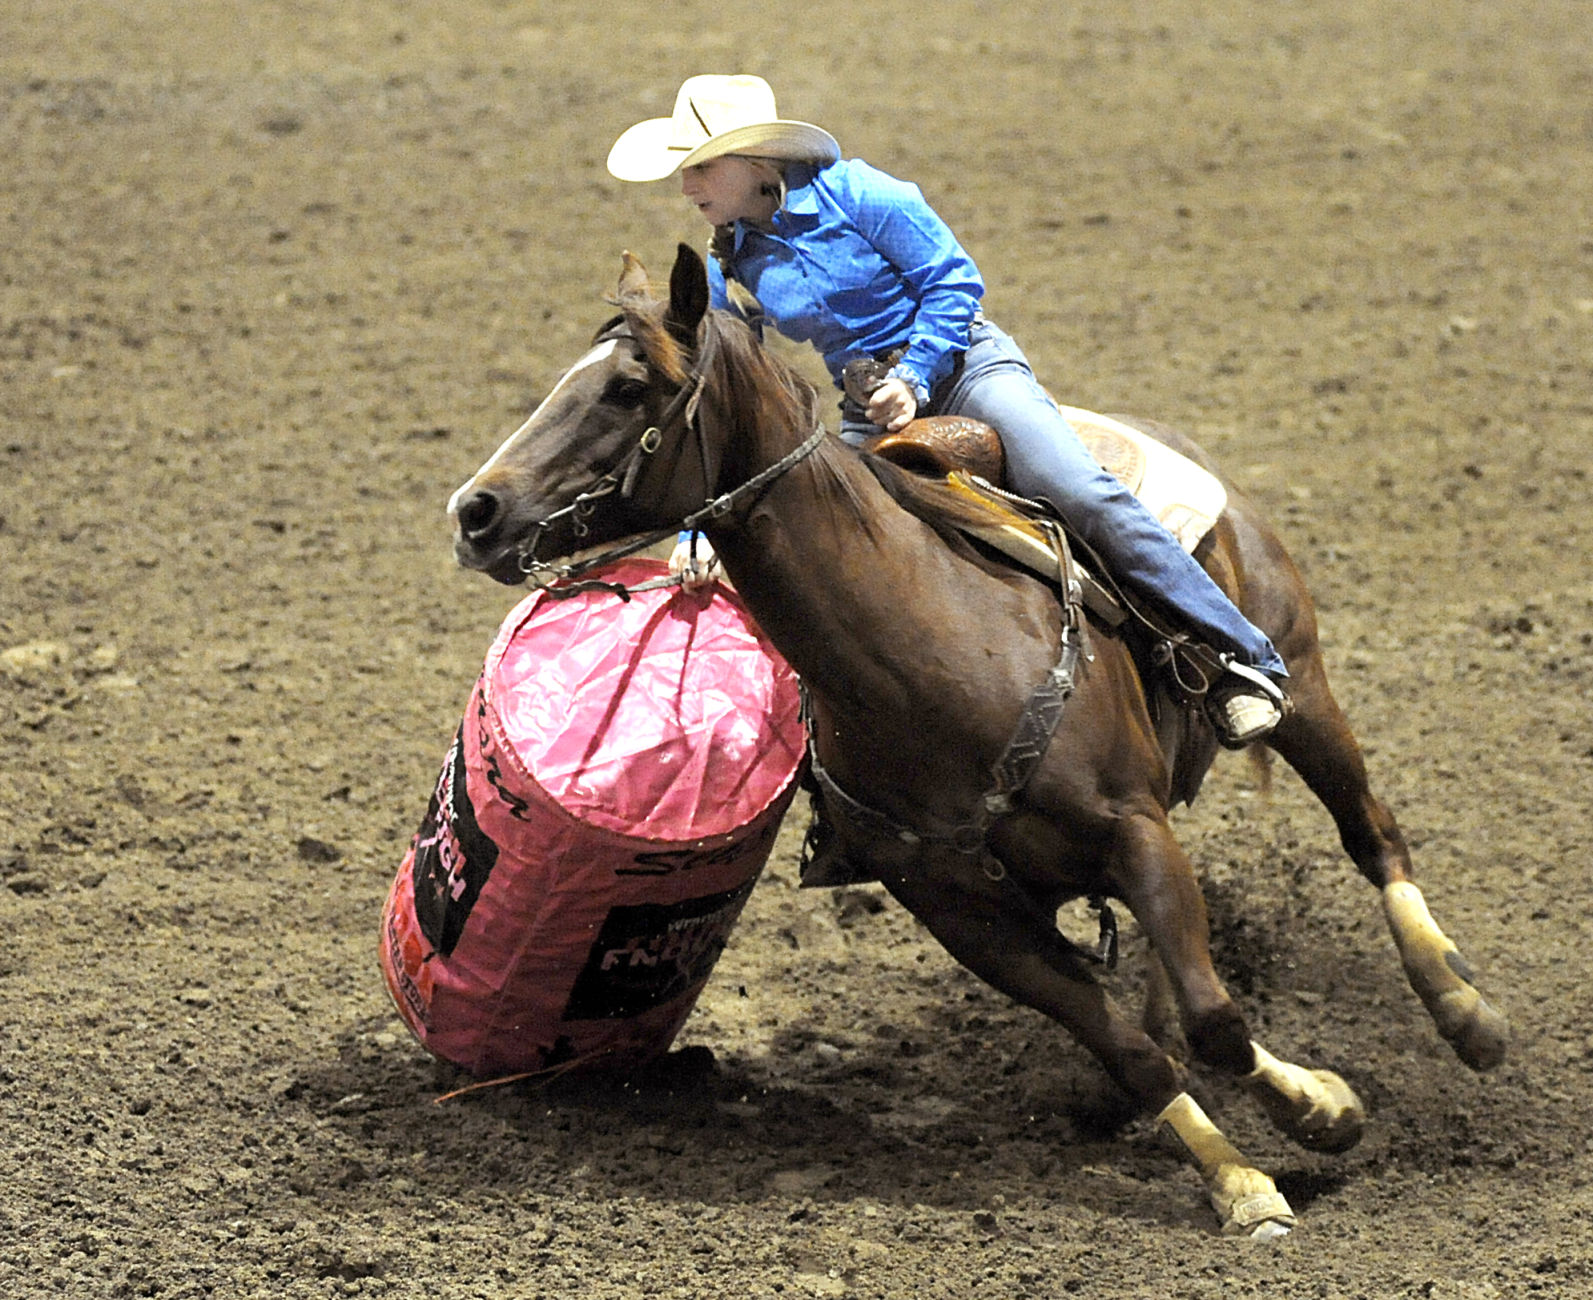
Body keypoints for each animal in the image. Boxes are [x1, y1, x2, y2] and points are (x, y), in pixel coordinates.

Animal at [446, 246, 1503, 1236]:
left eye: (627, 388)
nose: (474, 511)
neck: (930, 650)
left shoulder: (1132, 829)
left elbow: (1216, 1021)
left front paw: (1321, 1109)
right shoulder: (961, 910)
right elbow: (1132, 1049)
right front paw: (1238, 1179)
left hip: (1305, 681)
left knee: (1370, 833)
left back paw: (1465, 1013)